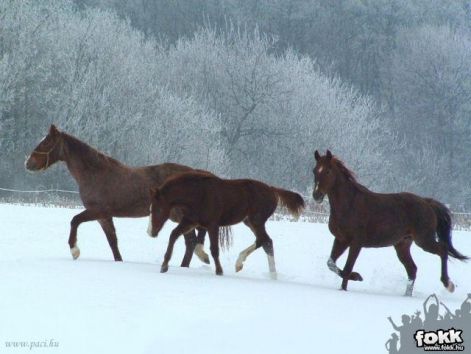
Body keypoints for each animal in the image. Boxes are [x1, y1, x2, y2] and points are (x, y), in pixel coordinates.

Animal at [24, 124, 210, 266]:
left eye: (46, 142)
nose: (28, 163)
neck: (95, 174)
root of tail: (194, 173)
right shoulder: (104, 217)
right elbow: (113, 241)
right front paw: (119, 262)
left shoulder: (97, 211)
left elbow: (75, 220)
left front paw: (74, 251)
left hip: (178, 216)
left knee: (191, 242)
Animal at [149, 171, 308, 276]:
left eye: (158, 209)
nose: (151, 232)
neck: (198, 194)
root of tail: (272, 189)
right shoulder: (190, 221)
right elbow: (173, 235)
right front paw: (164, 266)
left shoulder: (212, 225)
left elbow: (214, 249)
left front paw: (219, 271)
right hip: (249, 221)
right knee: (263, 241)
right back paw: (242, 265)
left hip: (256, 221)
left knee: (266, 242)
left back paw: (271, 275)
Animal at [314, 149, 468, 296]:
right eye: (315, 170)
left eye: (328, 170)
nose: (316, 195)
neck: (349, 204)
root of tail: (427, 202)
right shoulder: (341, 240)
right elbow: (331, 263)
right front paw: (353, 279)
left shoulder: (356, 243)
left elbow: (347, 268)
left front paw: (352, 281)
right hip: (402, 245)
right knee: (412, 269)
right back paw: (407, 295)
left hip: (424, 240)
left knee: (442, 250)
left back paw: (448, 284)